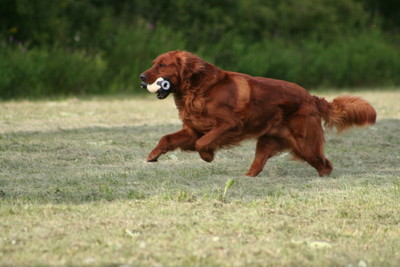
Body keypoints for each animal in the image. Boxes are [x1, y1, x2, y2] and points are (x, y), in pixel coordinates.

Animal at [139, 51, 376, 177]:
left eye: (162, 65)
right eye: (153, 64)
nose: (141, 77)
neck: (199, 89)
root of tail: (311, 97)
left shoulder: (228, 124)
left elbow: (203, 142)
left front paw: (208, 155)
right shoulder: (193, 129)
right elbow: (167, 138)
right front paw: (153, 155)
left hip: (305, 144)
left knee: (325, 164)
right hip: (269, 142)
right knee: (258, 165)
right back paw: (246, 177)